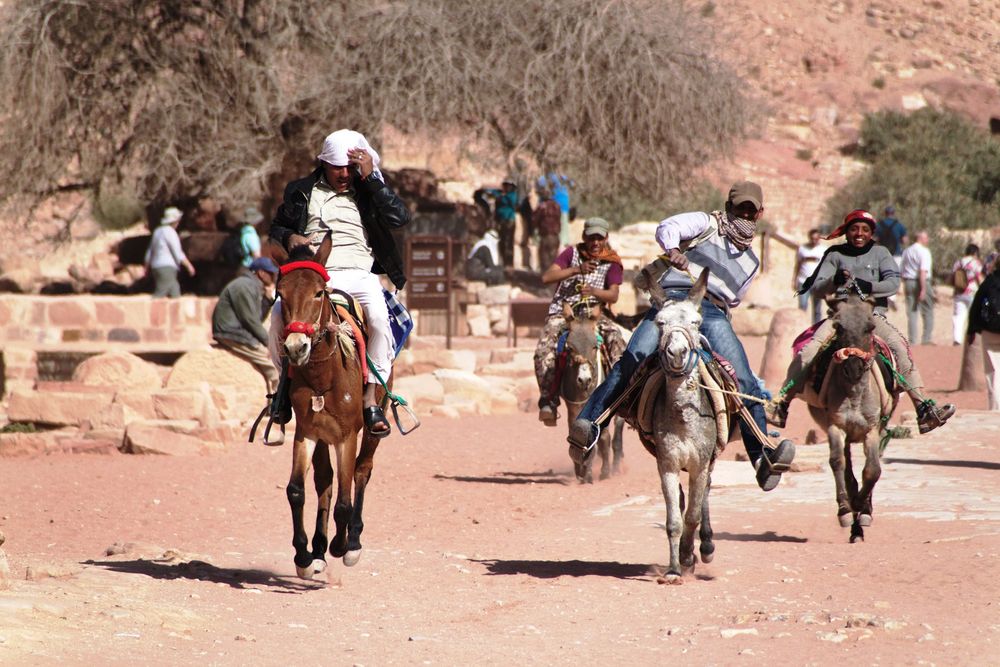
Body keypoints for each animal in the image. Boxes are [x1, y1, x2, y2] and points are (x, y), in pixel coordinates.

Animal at [272, 239, 384, 580]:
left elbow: (345, 502)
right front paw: (304, 556)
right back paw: (319, 549)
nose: (296, 347)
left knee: (362, 471)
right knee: (325, 479)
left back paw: (351, 541)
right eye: (280, 293)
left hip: (370, 428)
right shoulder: (307, 433)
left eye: (318, 292)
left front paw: (342, 545)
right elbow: (296, 490)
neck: (324, 376)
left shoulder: (346, 437)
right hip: (323, 437)